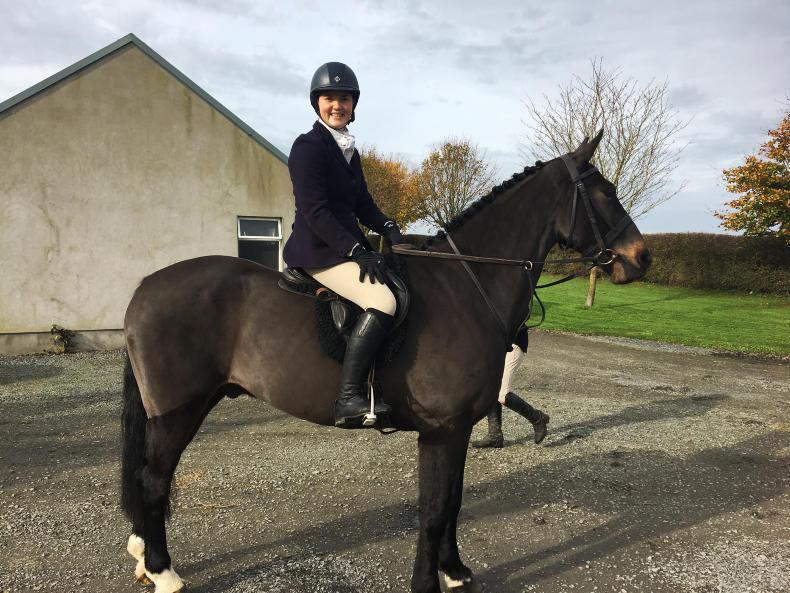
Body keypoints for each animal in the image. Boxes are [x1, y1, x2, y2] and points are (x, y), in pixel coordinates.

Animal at [120, 131, 652, 593]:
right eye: (605, 193)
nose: (642, 258)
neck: (468, 286)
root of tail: (145, 286)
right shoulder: (441, 431)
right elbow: (433, 510)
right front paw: (427, 584)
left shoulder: (457, 429)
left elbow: (454, 501)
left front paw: (455, 571)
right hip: (179, 411)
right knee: (154, 479)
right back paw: (163, 572)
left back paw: (145, 557)